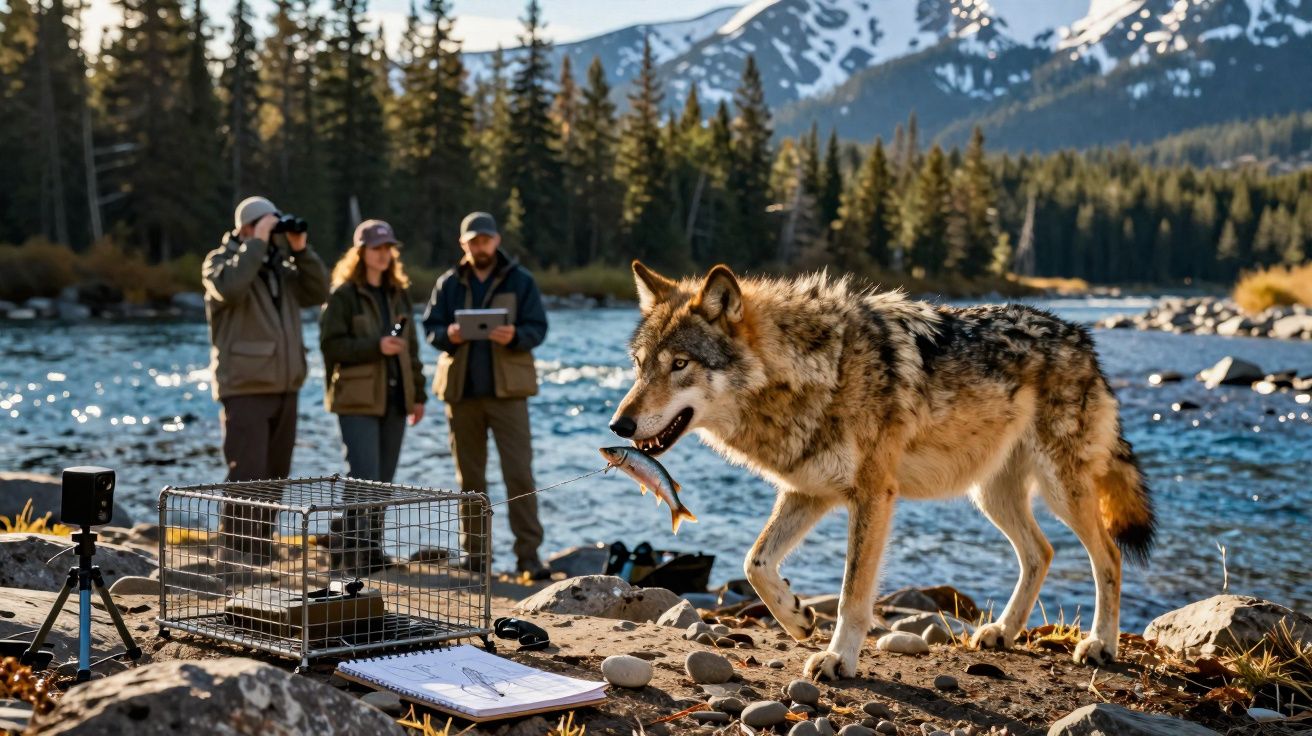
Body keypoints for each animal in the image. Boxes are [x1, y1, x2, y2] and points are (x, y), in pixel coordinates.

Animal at [609, 262, 1155, 681]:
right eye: (638, 364)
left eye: (680, 364)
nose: (619, 424)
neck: (816, 372)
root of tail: (1084, 340)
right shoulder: (807, 491)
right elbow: (755, 562)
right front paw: (797, 618)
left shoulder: (872, 494)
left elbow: (852, 594)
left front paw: (837, 659)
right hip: (991, 495)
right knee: (1040, 553)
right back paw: (1002, 632)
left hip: (1061, 491)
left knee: (1108, 556)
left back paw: (1101, 645)